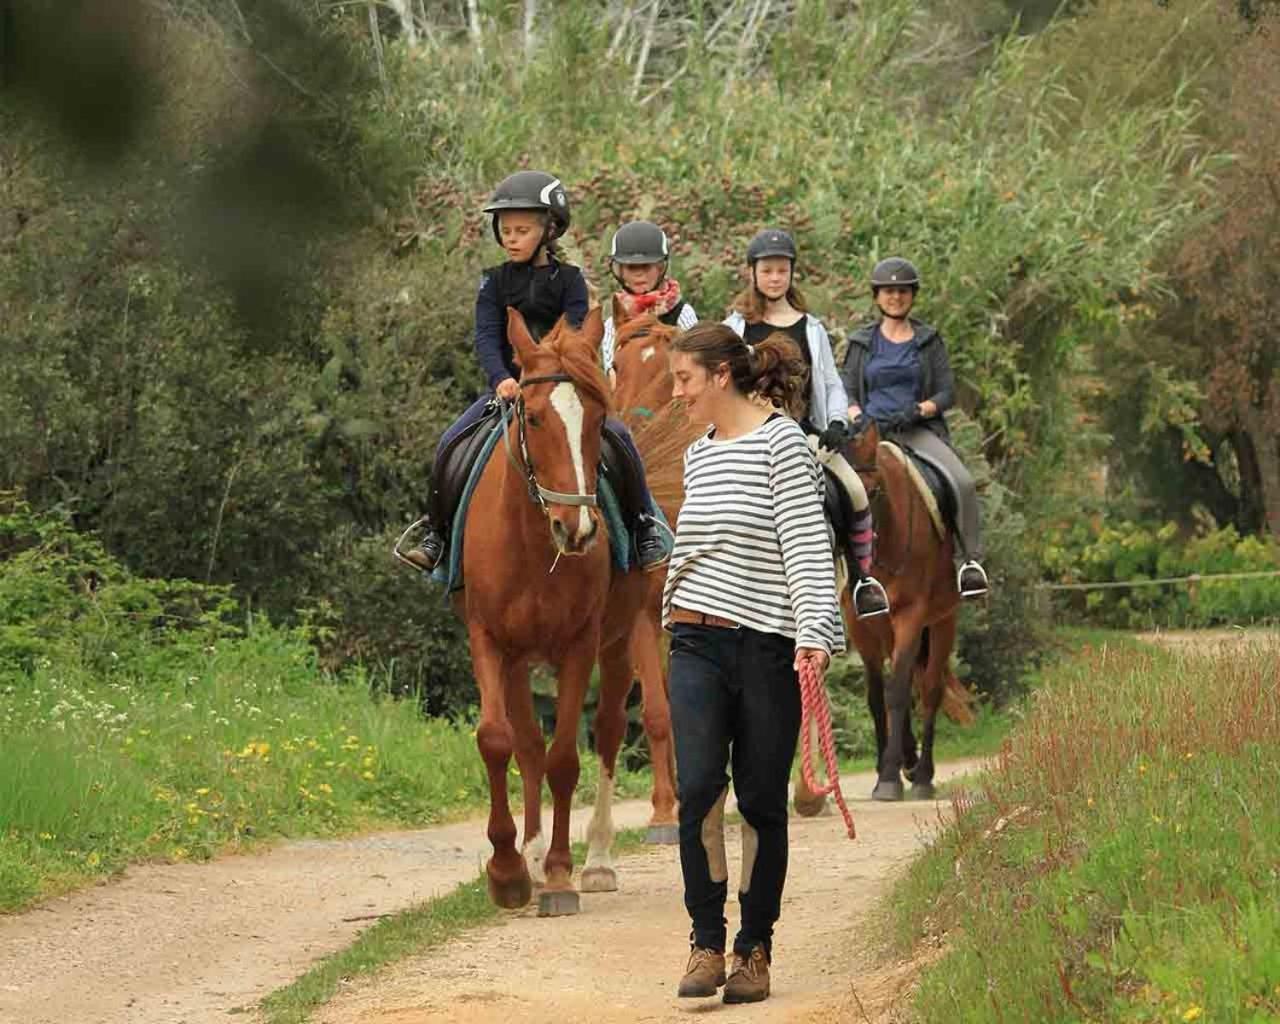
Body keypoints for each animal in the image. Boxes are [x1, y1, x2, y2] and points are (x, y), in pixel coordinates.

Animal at [455, 304, 650, 911]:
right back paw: (534, 855)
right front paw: (510, 870)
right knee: (528, 745)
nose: (578, 529)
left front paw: (562, 872)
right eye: (535, 419)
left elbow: (567, 757)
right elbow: (500, 742)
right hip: (520, 661)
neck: (534, 542)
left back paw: (597, 861)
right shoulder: (490, 641)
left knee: (608, 731)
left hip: (621, 641)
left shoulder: (580, 645)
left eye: (596, 419)